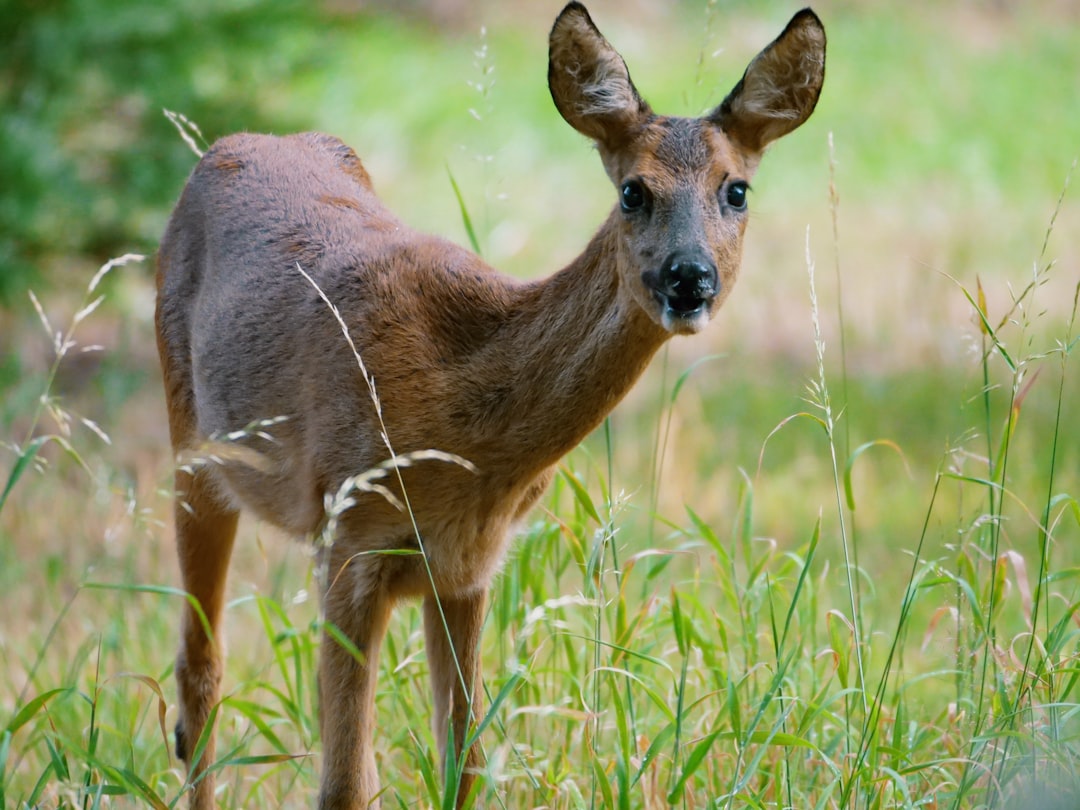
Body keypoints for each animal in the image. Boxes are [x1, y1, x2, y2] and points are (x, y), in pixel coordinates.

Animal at [154, 3, 825, 807]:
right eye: (633, 191)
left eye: (737, 190)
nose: (689, 277)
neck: (469, 435)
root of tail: (231, 143)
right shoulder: (349, 535)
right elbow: (344, 782)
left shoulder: (468, 565)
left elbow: (465, 762)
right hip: (192, 445)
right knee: (198, 673)